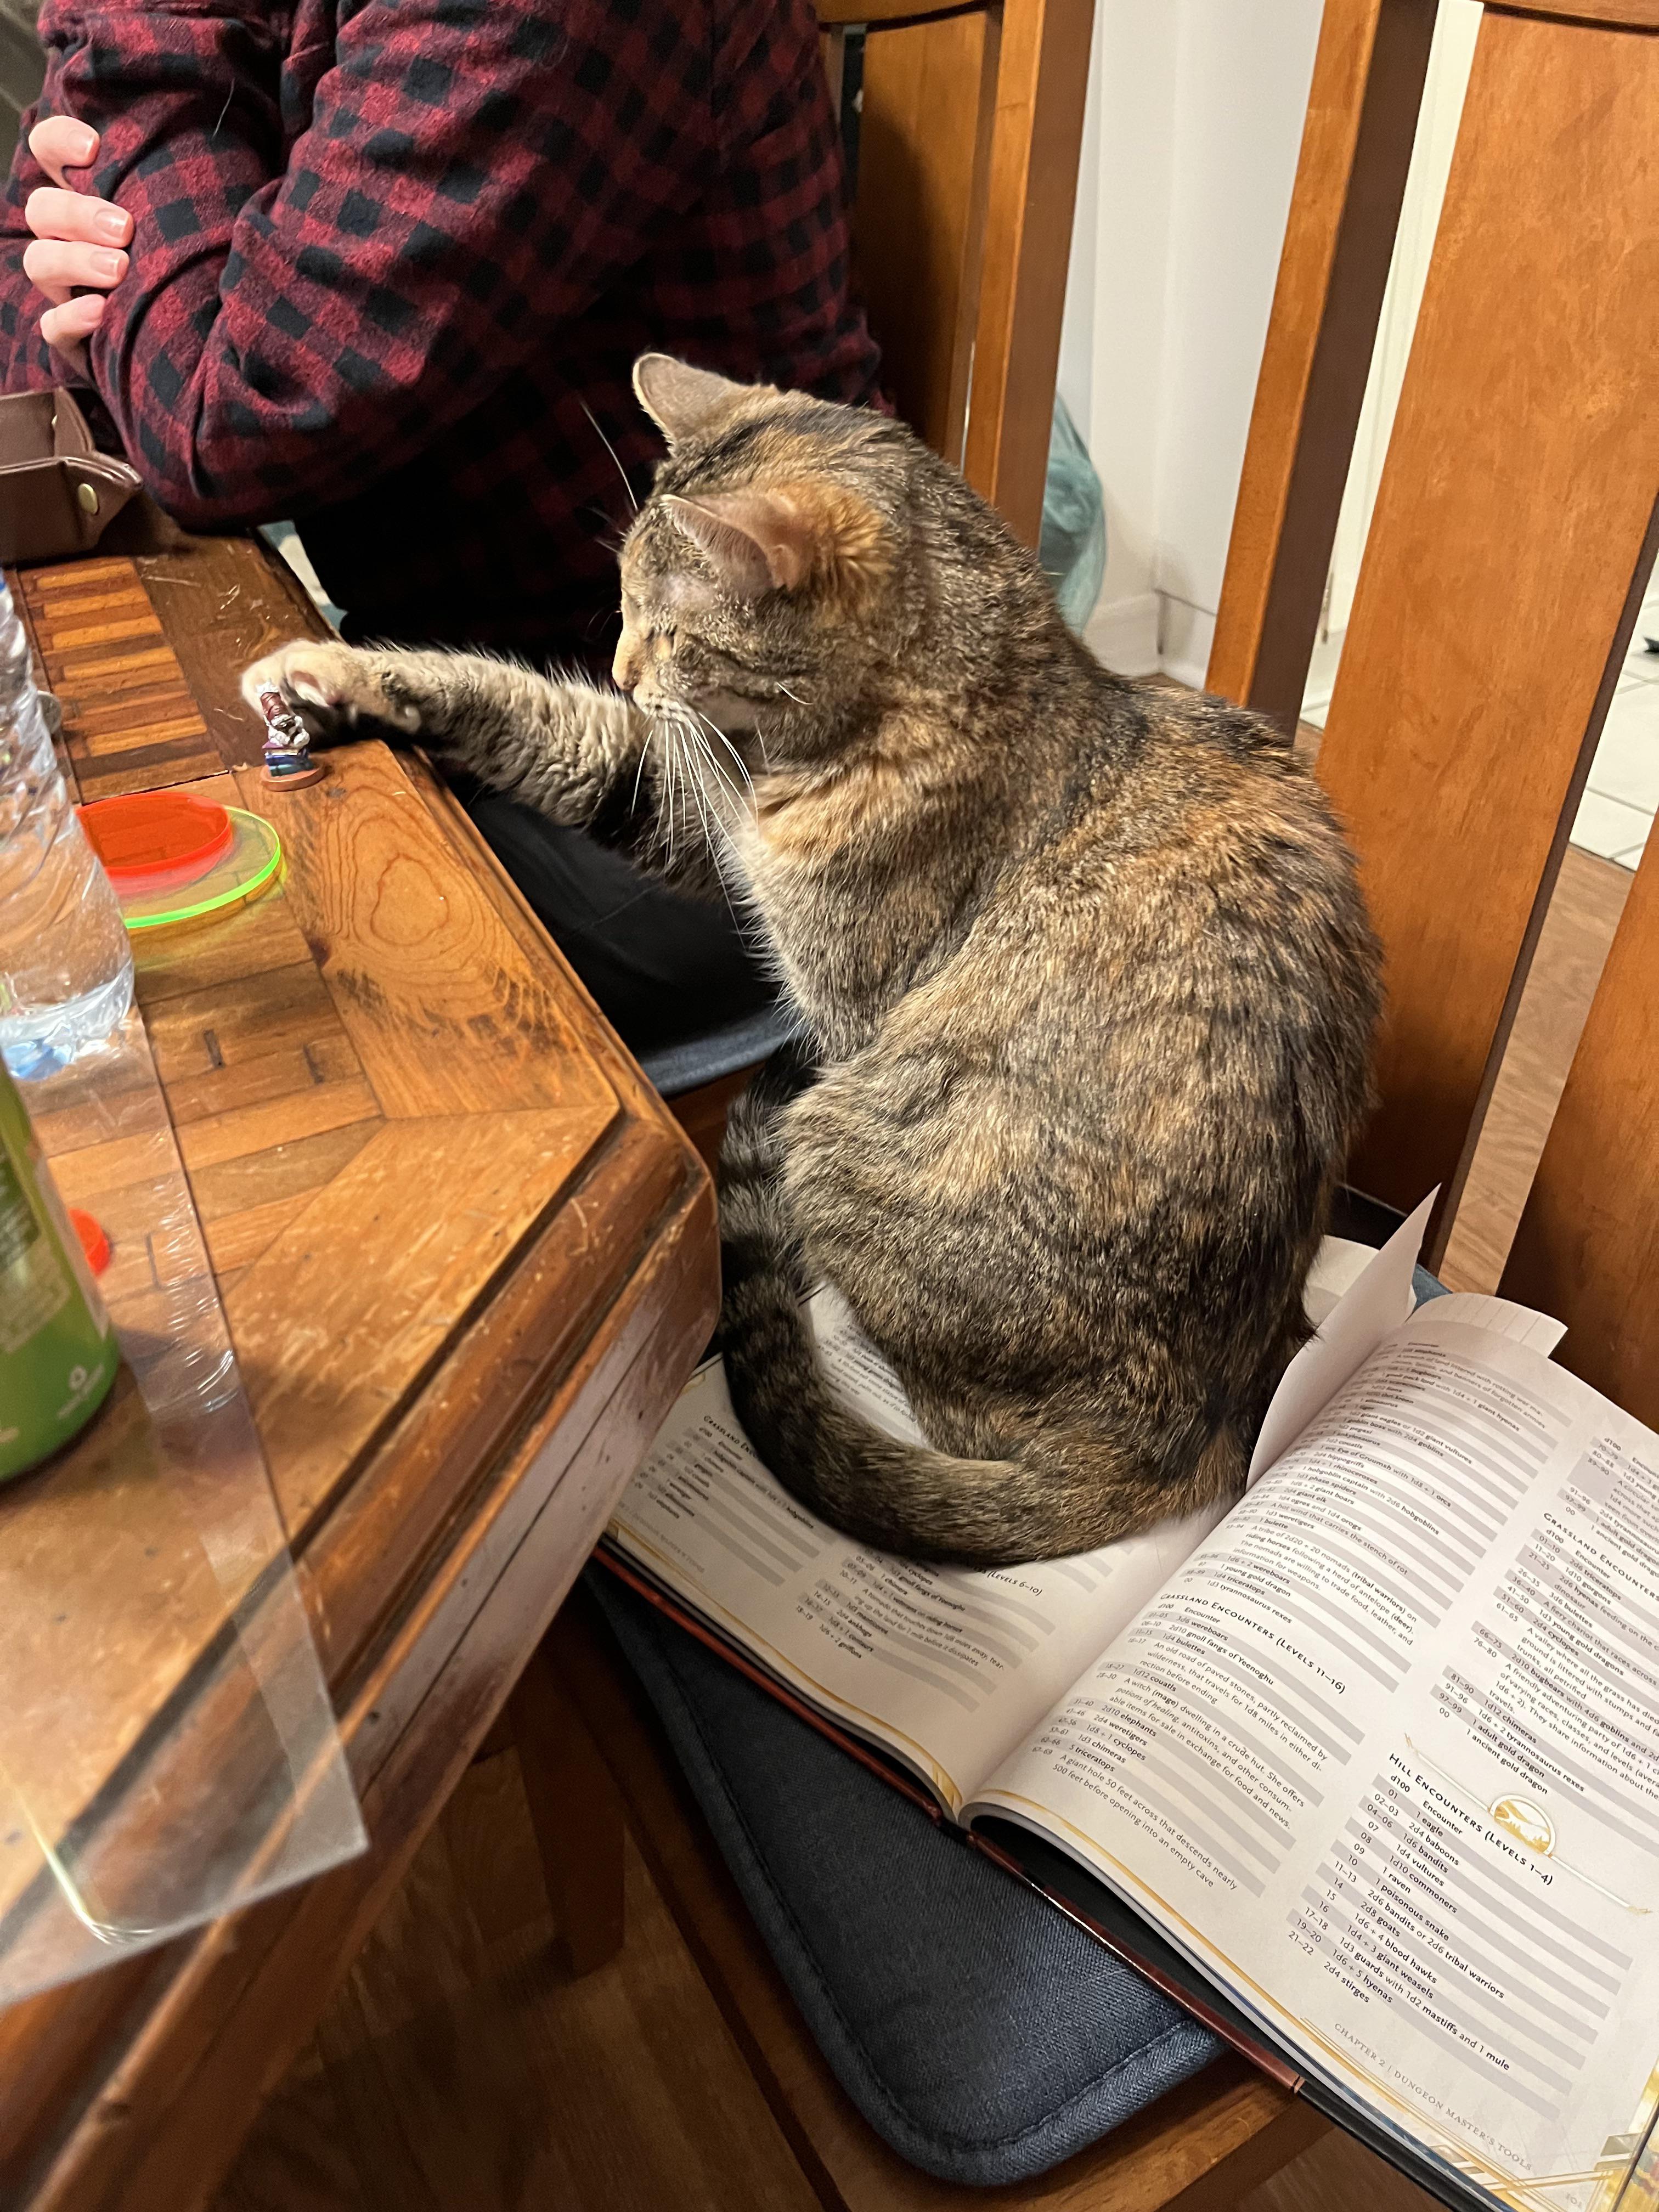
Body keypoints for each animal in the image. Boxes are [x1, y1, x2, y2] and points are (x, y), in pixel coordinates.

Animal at [243, 352, 1382, 1568]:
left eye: (668, 627)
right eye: (620, 607)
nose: (620, 666)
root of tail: (1195, 1438)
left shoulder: (841, 1002)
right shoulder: (685, 796)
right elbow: (534, 714)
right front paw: (334, 675)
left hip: (838, 1133)